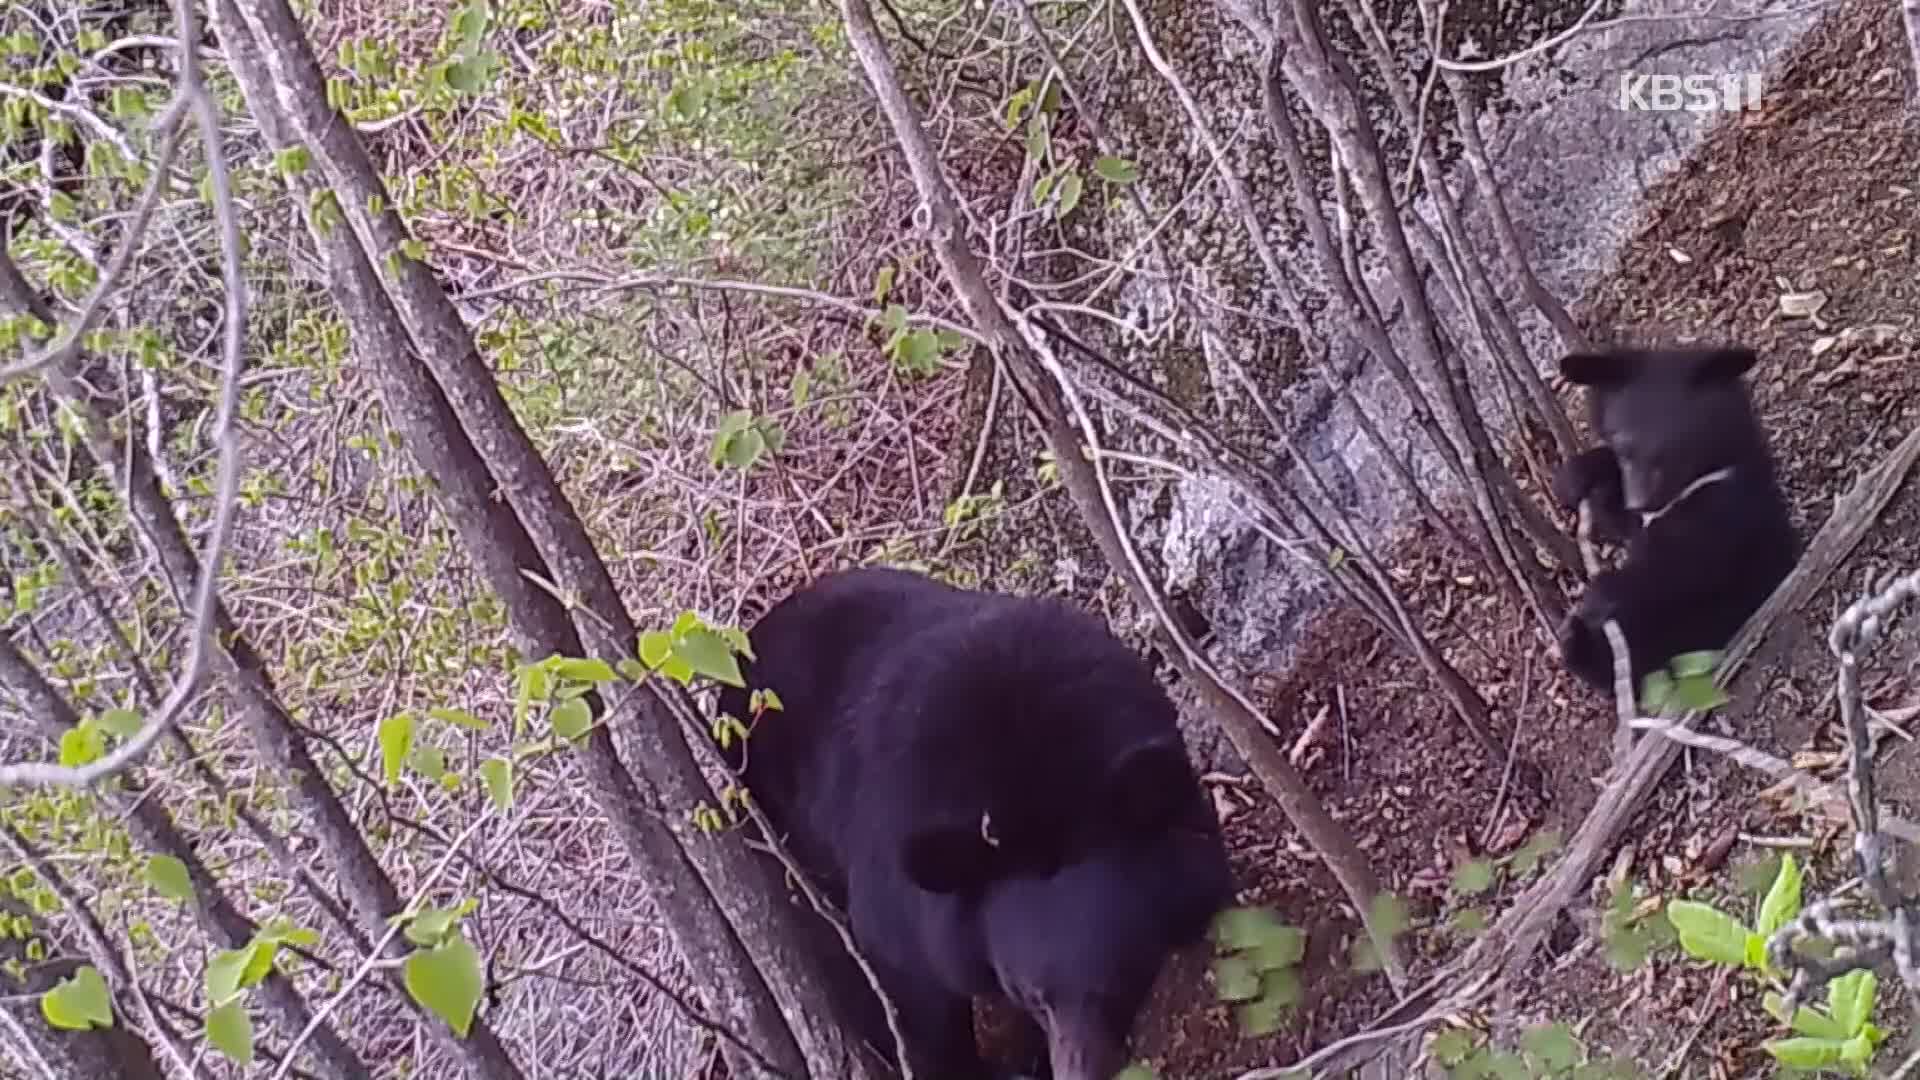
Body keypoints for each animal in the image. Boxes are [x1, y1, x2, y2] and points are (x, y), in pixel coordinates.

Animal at [1551, 343, 1789, 691]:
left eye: (1671, 450)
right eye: (1623, 445)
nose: (1640, 501)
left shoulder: (1728, 504)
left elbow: (1684, 565)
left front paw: (1602, 593)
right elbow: (1615, 517)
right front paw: (1575, 477)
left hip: (1703, 623)